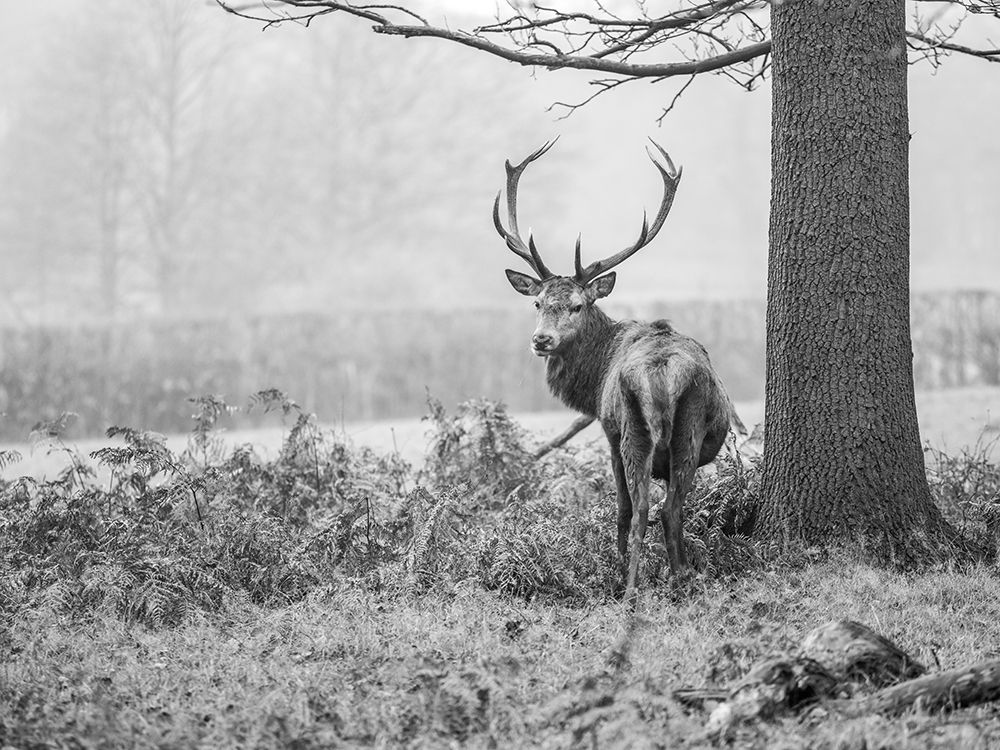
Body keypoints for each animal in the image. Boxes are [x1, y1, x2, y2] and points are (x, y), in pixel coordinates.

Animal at [495, 139, 742, 607]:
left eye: (577, 305)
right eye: (537, 303)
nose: (541, 340)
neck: (593, 380)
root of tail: (662, 372)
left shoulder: (608, 432)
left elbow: (622, 508)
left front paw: (614, 570)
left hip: (635, 430)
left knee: (646, 507)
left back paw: (633, 587)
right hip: (677, 430)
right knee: (668, 507)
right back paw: (675, 579)